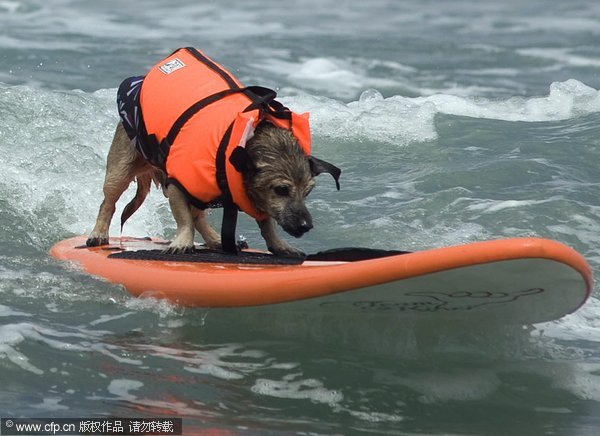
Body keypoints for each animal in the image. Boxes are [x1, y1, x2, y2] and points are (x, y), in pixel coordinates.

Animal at [86, 47, 340, 258]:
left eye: (308, 192)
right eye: (281, 189)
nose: (306, 226)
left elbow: (267, 224)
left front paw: (279, 245)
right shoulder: (178, 185)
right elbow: (184, 219)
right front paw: (182, 241)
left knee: (199, 216)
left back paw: (216, 240)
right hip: (120, 171)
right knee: (108, 203)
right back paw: (99, 233)